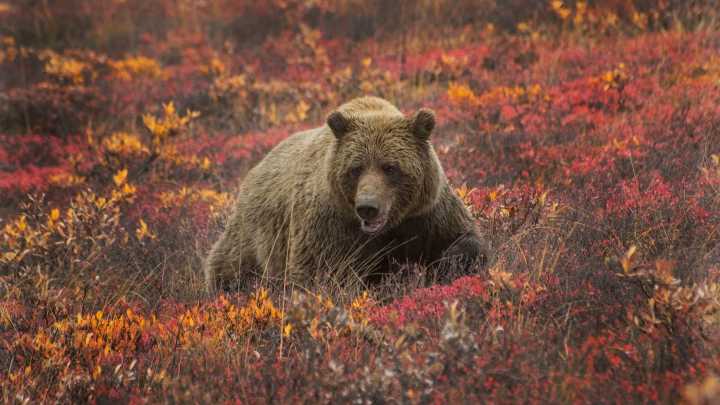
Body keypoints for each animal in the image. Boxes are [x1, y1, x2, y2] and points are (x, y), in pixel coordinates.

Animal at [205, 96, 487, 294]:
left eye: (390, 167)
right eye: (356, 168)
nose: (368, 207)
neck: (387, 229)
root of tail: (254, 168)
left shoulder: (426, 213)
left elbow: (465, 240)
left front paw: (447, 264)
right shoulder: (330, 225)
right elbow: (321, 274)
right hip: (253, 237)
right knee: (230, 267)